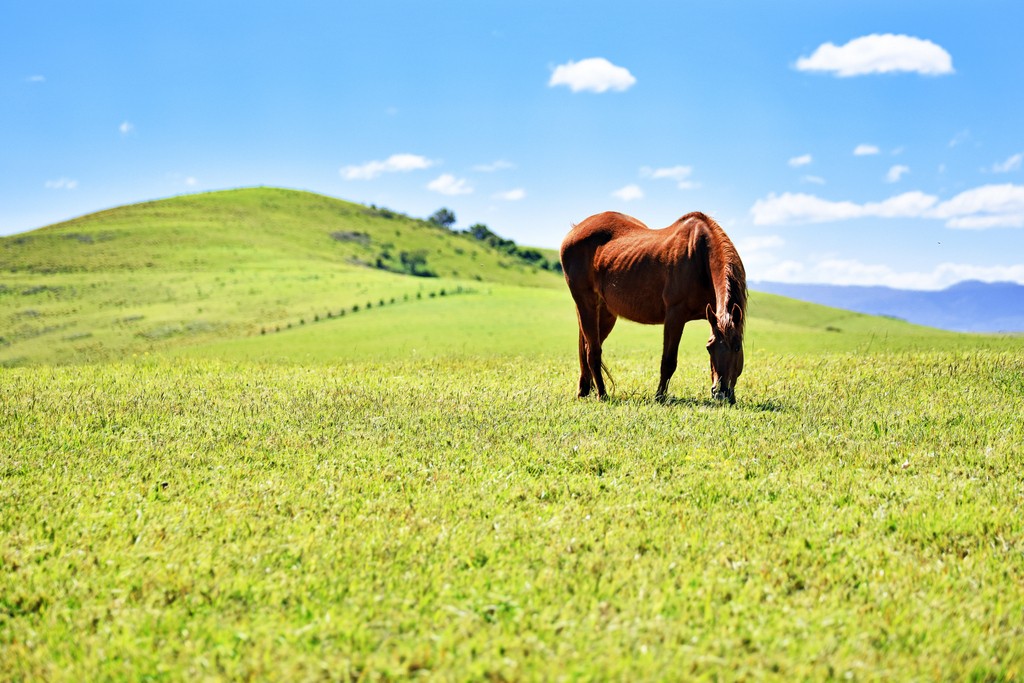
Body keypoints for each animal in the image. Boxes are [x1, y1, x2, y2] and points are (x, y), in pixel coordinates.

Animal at [559, 210, 747, 404]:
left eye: (737, 347)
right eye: (709, 348)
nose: (721, 393)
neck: (699, 257)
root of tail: (575, 231)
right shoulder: (675, 315)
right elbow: (668, 361)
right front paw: (659, 397)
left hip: (605, 312)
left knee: (586, 347)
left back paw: (584, 390)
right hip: (586, 303)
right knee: (593, 351)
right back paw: (602, 394)